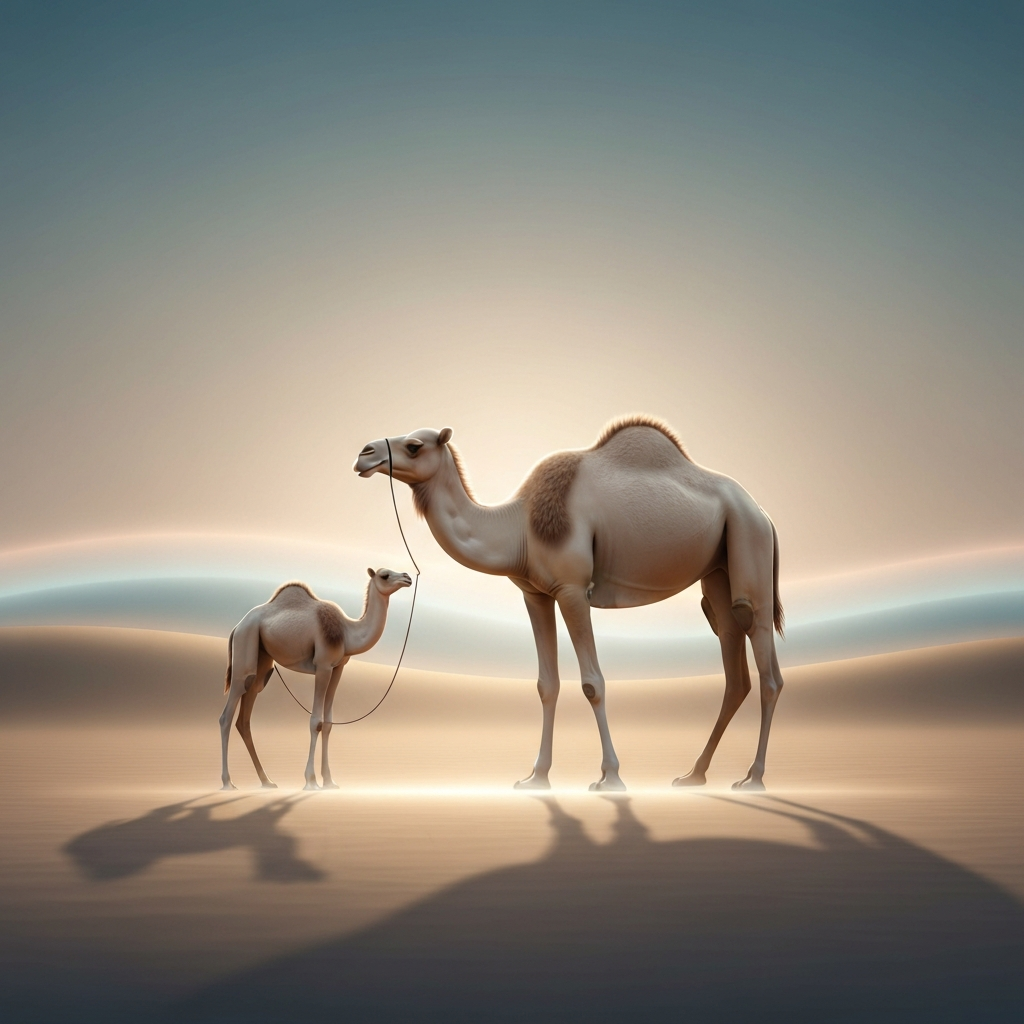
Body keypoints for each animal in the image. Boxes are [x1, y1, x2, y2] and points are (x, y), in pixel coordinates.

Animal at [219, 569, 412, 791]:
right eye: (385, 575)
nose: (408, 577)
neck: (346, 631)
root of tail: (237, 626)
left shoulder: (337, 668)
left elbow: (328, 723)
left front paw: (329, 781)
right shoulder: (323, 665)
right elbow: (315, 722)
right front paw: (311, 781)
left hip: (261, 662)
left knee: (245, 716)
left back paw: (267, 781)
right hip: (245, 645)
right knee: (227, 713)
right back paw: (227, 782)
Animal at [354, 416, 784, 792]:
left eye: (414, 445)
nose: (364, 454)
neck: (519, 525)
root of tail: (763, 511)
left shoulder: (573, 589)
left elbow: (593, 682)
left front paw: (610, 777)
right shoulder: (535, 593)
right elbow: (547, 684)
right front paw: (535, 778)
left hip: (749, 538)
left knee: (761, 649)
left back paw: (754, 779)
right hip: (718, 568)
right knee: (731, 652)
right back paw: (694, 775)